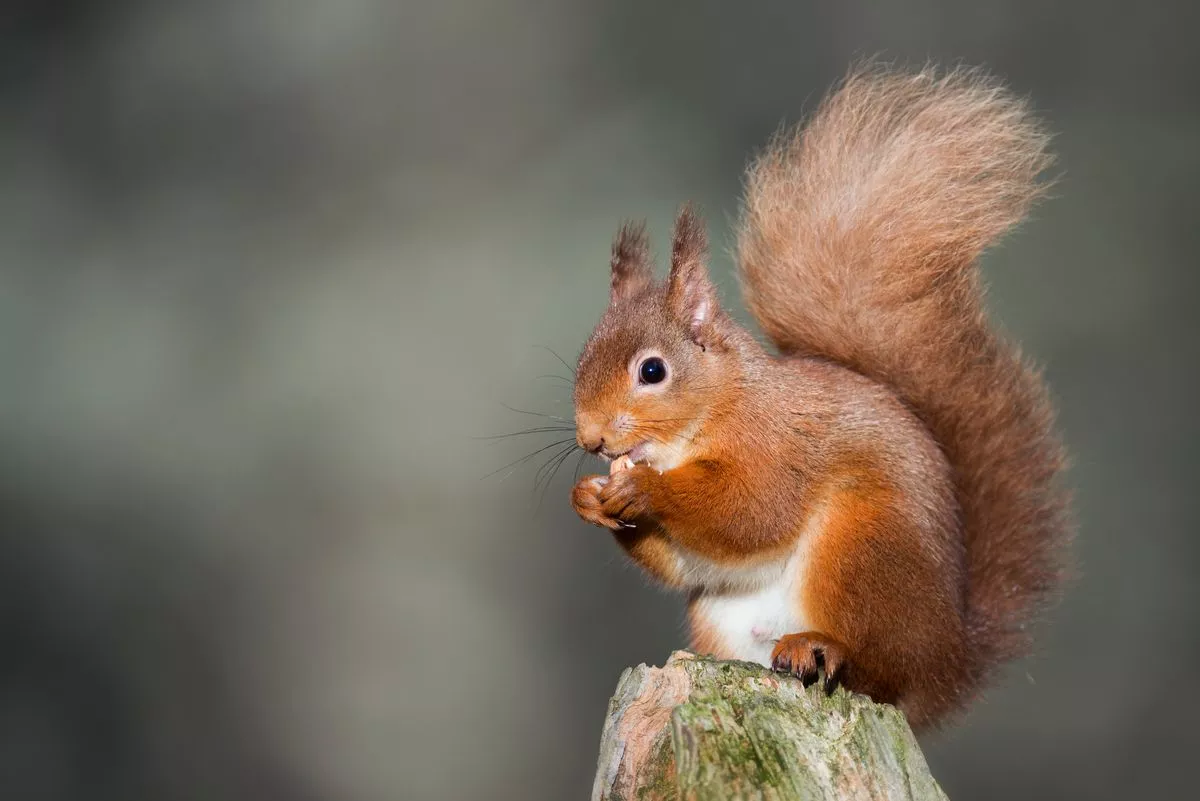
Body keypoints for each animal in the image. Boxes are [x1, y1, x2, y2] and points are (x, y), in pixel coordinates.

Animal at [569, 65, 1071, 730]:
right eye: (581, 358)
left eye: (652, 370)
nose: (590, 438)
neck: (721, 407)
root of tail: (947, 661)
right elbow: (687, 560)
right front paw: (588, 498)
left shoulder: (778, 446)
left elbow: (751, 511)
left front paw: (644, 490)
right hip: (726, 614)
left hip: (862, 545)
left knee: (877, 669)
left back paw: (823, 647)